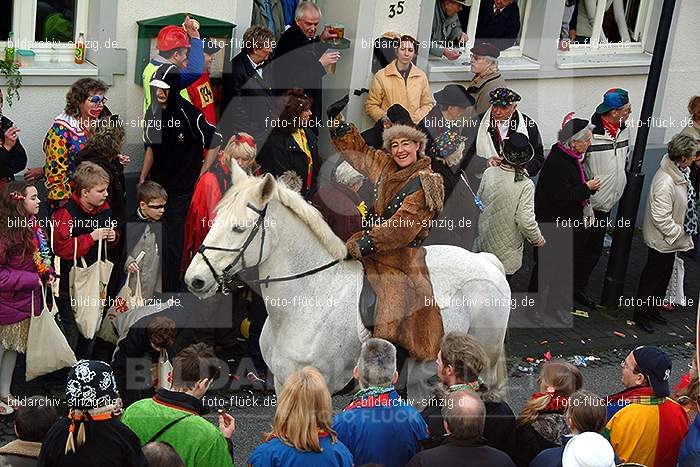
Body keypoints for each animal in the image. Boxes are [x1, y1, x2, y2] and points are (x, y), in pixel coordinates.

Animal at [186, 165, 512, 406]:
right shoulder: (282, 381)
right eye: (215, 218)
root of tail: (486, 261)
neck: (309, 297)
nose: (195, 279)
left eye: (239, 228)